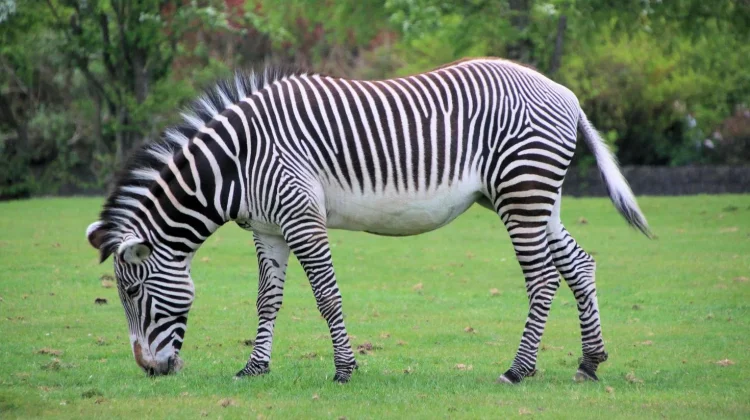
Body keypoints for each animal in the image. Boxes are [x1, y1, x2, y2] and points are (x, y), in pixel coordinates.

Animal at [85, 57, 651, 384]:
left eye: (132, 293)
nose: (149, 371)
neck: (236, 163)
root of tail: (565, 93)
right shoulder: (268, 228)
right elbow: (268, 299)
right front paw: (254, 367)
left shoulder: (301, 216)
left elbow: (326, 295)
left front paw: (344, 369)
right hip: (532, 196)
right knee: (578, 265)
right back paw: (589, 362)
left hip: (522, 193)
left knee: (542, 278)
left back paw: (519, 369)